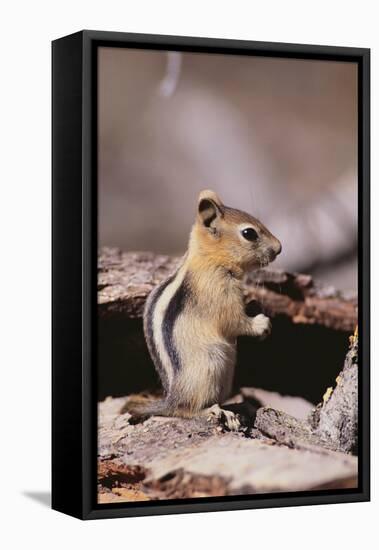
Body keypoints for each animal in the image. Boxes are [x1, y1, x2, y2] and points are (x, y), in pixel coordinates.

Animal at [126, 191, 284, 432]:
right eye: (249, 233)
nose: (279, 248)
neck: (209, 260)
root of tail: (171, 399)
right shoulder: (219, 296)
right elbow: (234, 321)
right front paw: (261, 324)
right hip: (210, 366)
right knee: (186, 410)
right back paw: (215, 411)